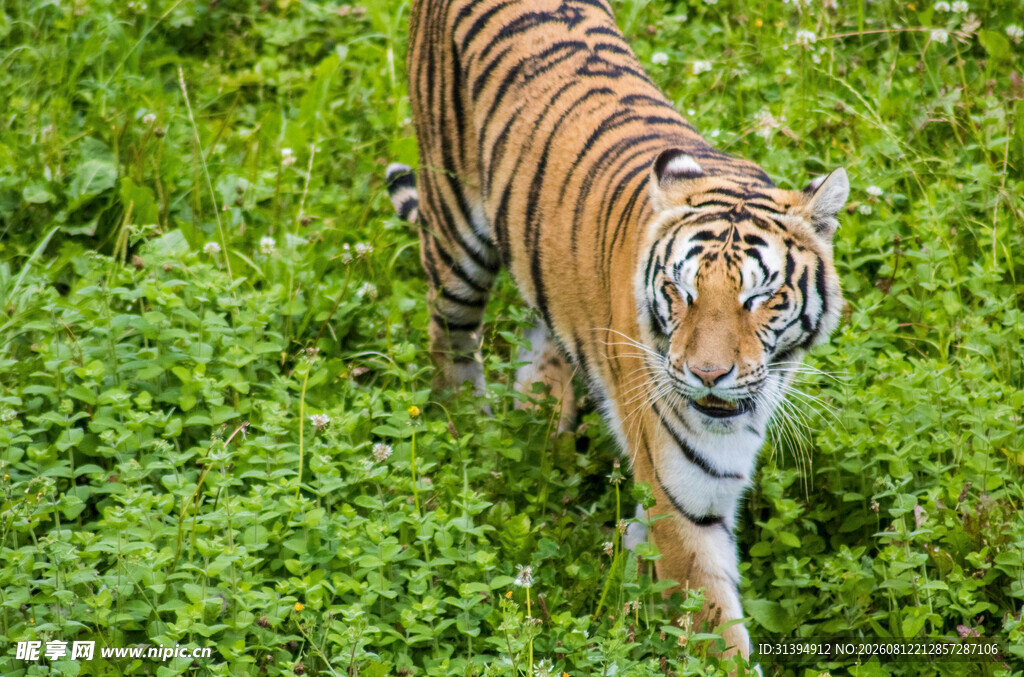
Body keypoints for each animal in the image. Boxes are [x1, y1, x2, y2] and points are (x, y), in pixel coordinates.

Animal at [386, 0, 848, 661]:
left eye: (759, 298)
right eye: (680, 293)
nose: (709, 375)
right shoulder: (682, 504)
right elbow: (716, 634)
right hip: (454, 229)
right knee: (448, 338)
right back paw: (472, 428)